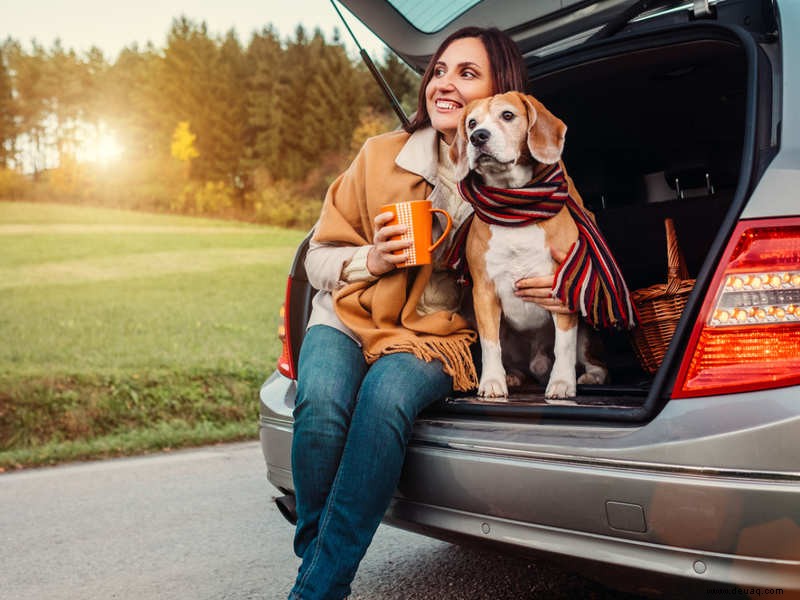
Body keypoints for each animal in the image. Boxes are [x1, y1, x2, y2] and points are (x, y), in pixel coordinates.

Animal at [446, 91, 616, 400]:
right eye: (472, 122)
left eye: (508, 115)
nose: (477, 137)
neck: (515, 208)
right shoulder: (484, 293)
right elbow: (490, 345)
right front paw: (493, 381)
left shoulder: (561, 288)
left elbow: (563, 345)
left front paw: (562, 383)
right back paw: (513, 376)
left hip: (586, 332)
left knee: (595, 362)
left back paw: (590, 377)